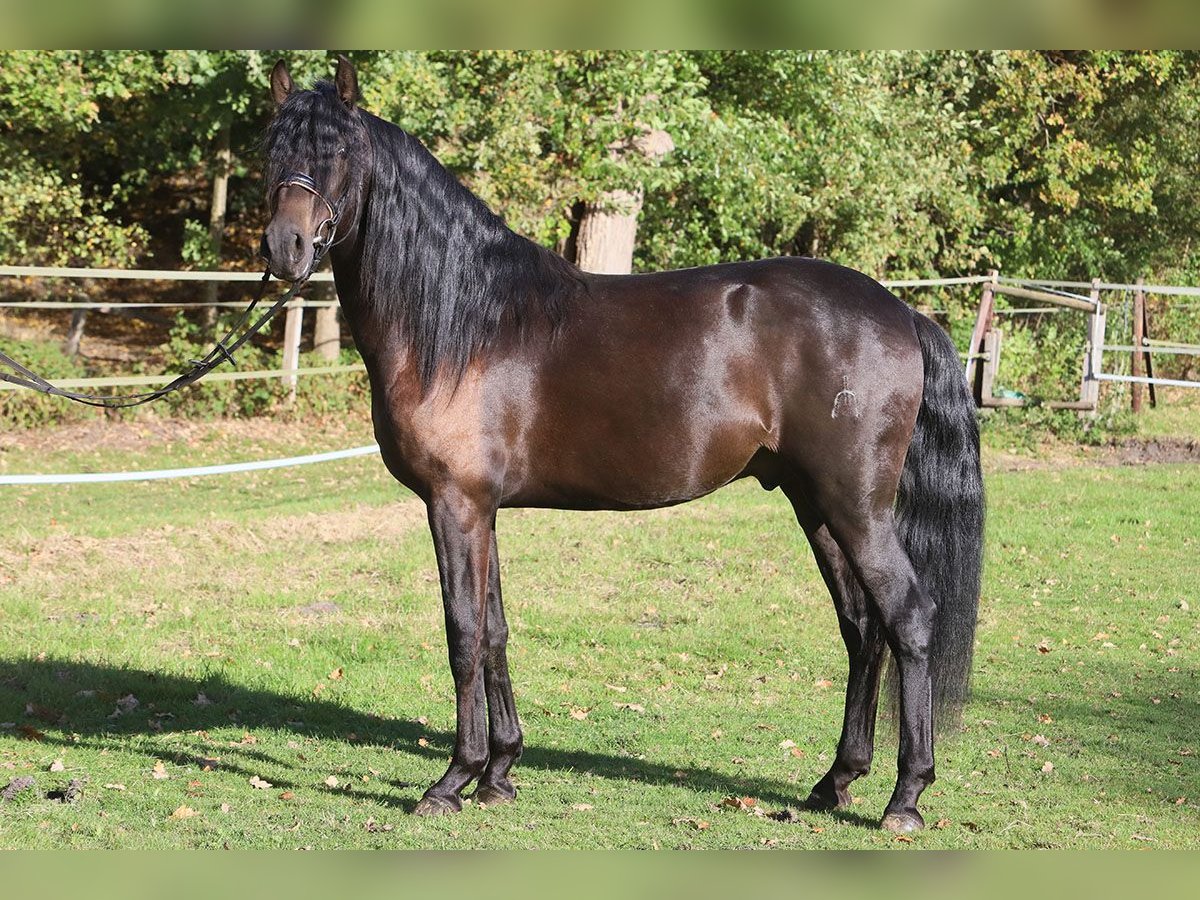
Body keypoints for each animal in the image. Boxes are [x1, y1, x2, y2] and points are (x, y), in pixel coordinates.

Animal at [260, 56, 984, 833]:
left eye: (338, 151)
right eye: (273, 149)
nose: (284, 248)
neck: (466, 325)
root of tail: (902, 311)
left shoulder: (454, 504)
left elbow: (462, 635)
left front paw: (453, 780)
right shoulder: (484, 511)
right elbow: (495, 632)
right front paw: (500, 773)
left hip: (857, 507)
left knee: (907, 619)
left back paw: (905, 797)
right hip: (815, 504)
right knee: (861, 627)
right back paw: (836, 780)